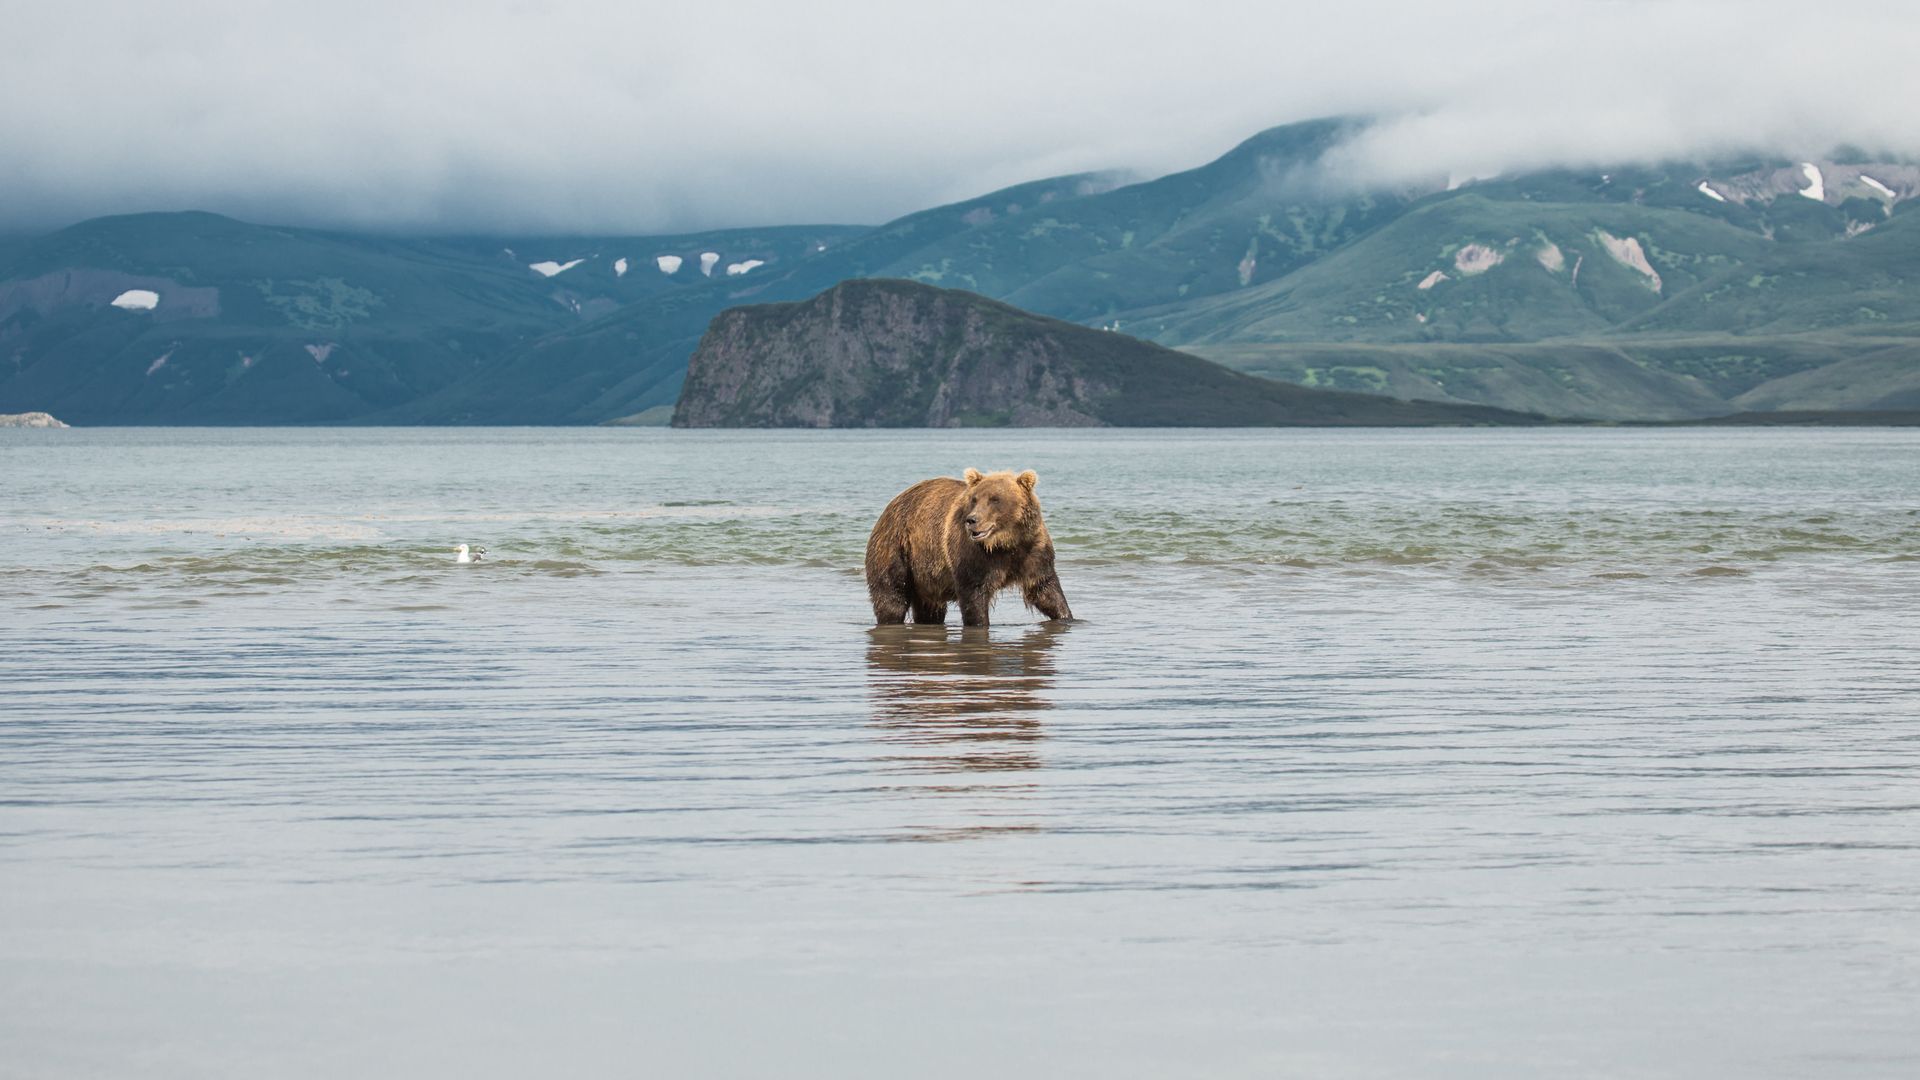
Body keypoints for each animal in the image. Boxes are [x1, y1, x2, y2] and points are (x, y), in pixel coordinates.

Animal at [865, 468, 1073, 628]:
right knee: (892, 595)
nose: (972, 520)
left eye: (995, 499)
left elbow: (1045, 589)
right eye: (974, 499)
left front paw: (1066, 616)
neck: (1005, 543)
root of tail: (892, 504)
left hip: (925, 577)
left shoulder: (1032, 550)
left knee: (929, 608)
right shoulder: (973, 556)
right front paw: (980, 623)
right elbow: (974, 594)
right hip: (896, 548)